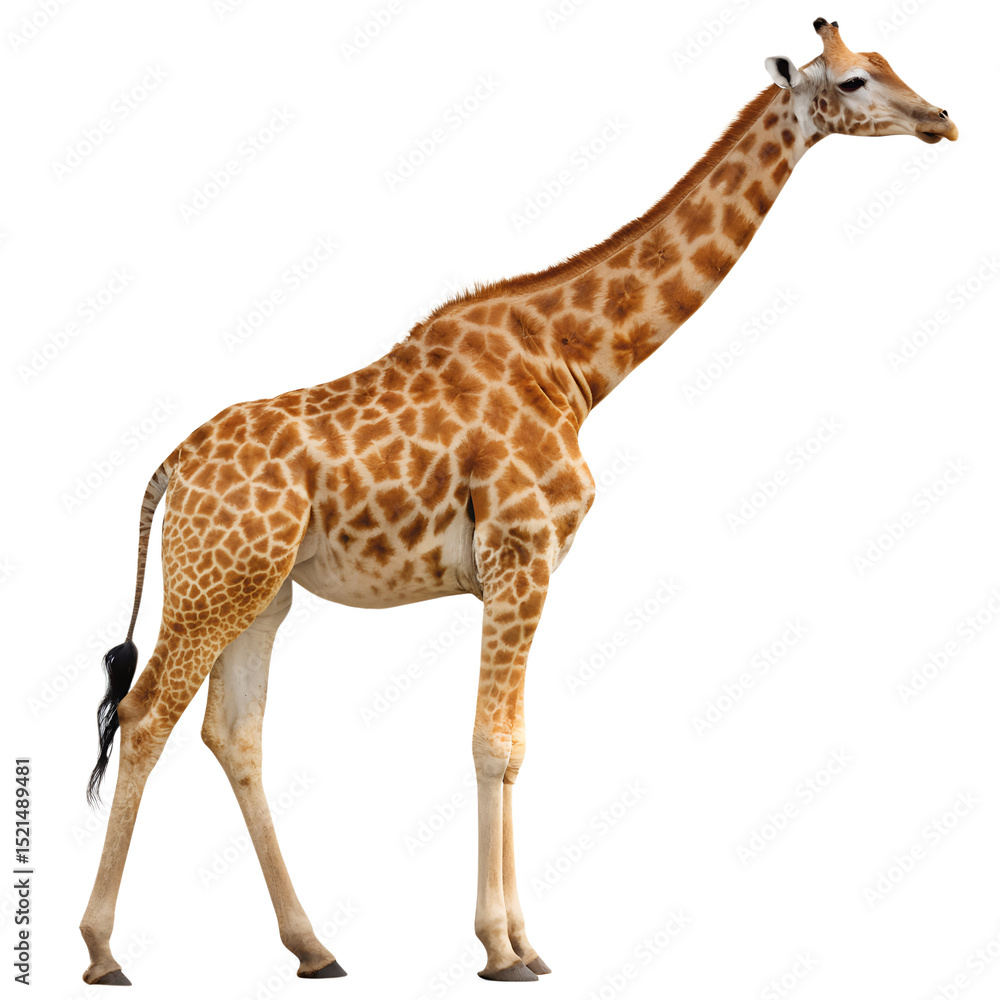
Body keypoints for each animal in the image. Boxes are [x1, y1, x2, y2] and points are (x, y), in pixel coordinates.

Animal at [80, 18, 957, 986]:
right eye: (853, 80)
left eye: (889, 62)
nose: (942, 119)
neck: (576, 365)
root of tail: (170, 468)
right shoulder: (521, 552)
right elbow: (491, 742)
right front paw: (499, 949)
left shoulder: (526, 566)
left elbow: (516, 746)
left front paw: (528, 943)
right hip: (212, 583)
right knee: (144, 715)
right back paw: (103, 950)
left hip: (258, 592)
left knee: (233, 734)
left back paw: (314, 947)